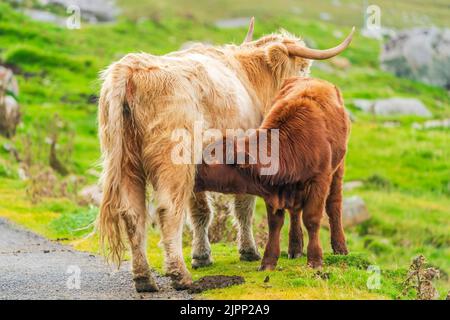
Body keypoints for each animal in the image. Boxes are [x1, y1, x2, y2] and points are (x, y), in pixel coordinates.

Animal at [195, 77, 350, 270]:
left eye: (211, 159)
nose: (192, 172)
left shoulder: (319, 182)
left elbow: (312, 219)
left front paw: (315, 260)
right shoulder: (272, 189)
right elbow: (275, 223)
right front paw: (268, 262)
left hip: (338, 170)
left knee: (333, 205)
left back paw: (340, 247)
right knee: (295, 213)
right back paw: (295, 248)